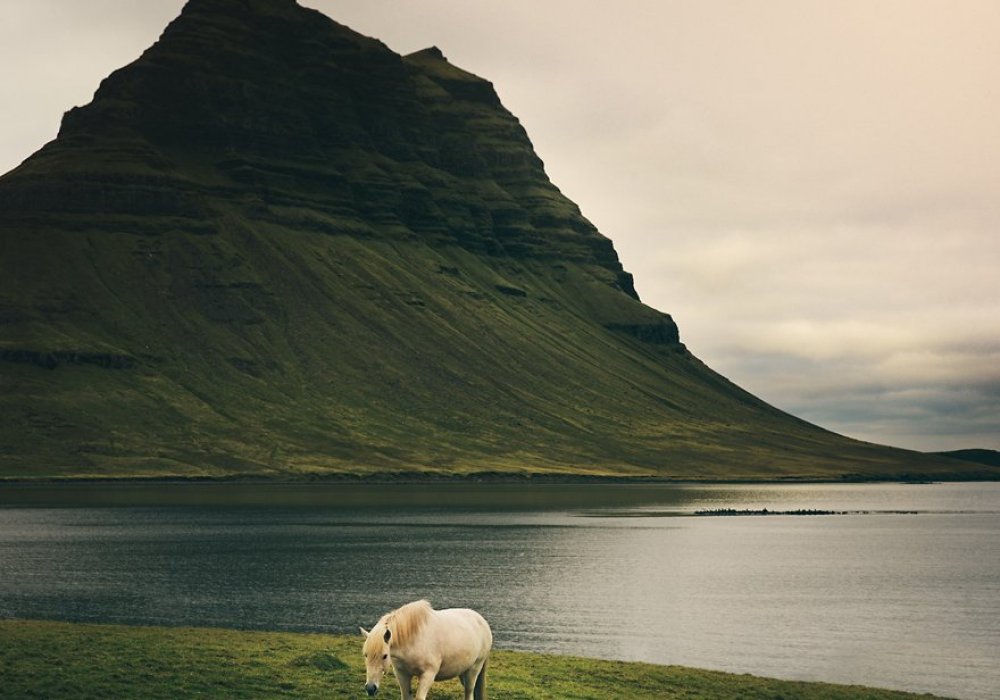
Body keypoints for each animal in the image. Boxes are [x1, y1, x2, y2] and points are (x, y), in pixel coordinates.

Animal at [364, 600, 492, 700]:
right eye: (366, 655)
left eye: (385, 656)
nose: (370, 688)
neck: (413, 641)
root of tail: (482, 622)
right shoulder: (402, 674)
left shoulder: (428, 675)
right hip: (463, 671)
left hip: (474, 668)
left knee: (469, 692)